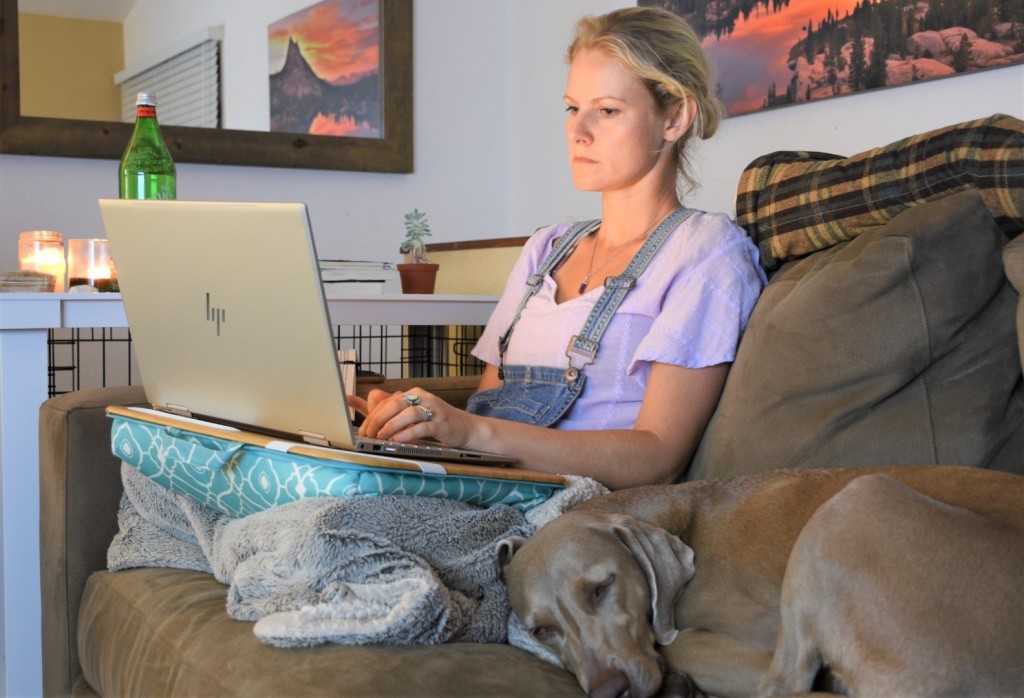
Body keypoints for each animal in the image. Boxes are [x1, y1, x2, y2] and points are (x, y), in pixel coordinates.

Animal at [499, 464, 1024, 691]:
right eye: (541, 630)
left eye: (602, 587)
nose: (610, 692)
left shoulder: (759, 640)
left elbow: (676, 645)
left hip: (855, 502)